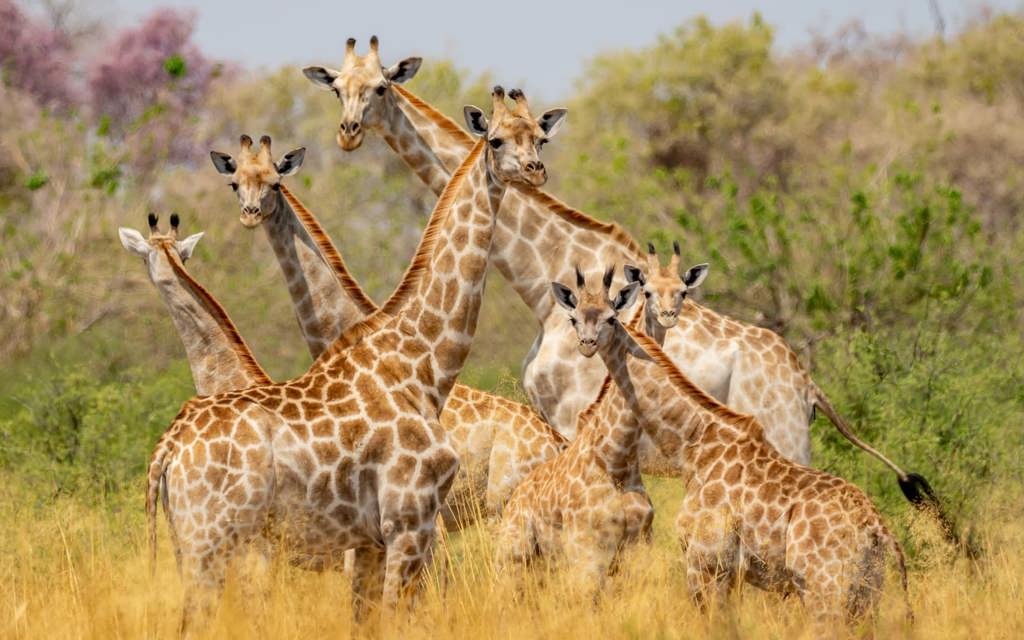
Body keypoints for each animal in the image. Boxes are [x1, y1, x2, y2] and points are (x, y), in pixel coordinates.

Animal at [303, 38, 942, 517]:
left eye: (381, 86)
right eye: (337, 87)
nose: (348, 131)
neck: (539, 278)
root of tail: (808, 385)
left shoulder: (570, 416)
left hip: (786, 437)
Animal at [497, 267, 652, 593]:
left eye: (612, 317)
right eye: (573, 319)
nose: (587, 343)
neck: (616, 460)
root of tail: (516, 497)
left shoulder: (639, 546)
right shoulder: (587, 551)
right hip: (513, 555)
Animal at [548, 269, 912, 635]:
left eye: (610, 318)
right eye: (574, 318)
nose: (587, 344)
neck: (693, 445)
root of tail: (880, 533)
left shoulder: (705, 562)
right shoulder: (731, 573)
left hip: (824, 592)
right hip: (866, 597)